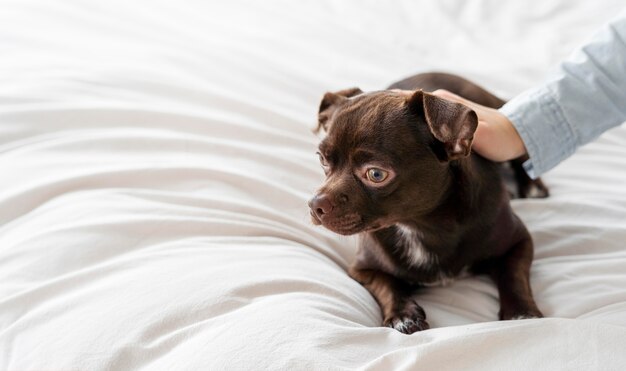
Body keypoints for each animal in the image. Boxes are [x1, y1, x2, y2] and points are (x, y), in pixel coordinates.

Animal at [310, 72, 544, 334]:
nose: (315, 204)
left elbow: (513, 276)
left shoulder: (518, 242)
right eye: (322, 160)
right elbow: (387, 285)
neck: (421, 224)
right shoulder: (363, 268)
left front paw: (521, 313)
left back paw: (533, 187)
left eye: (376, 174)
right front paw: (403, 315)